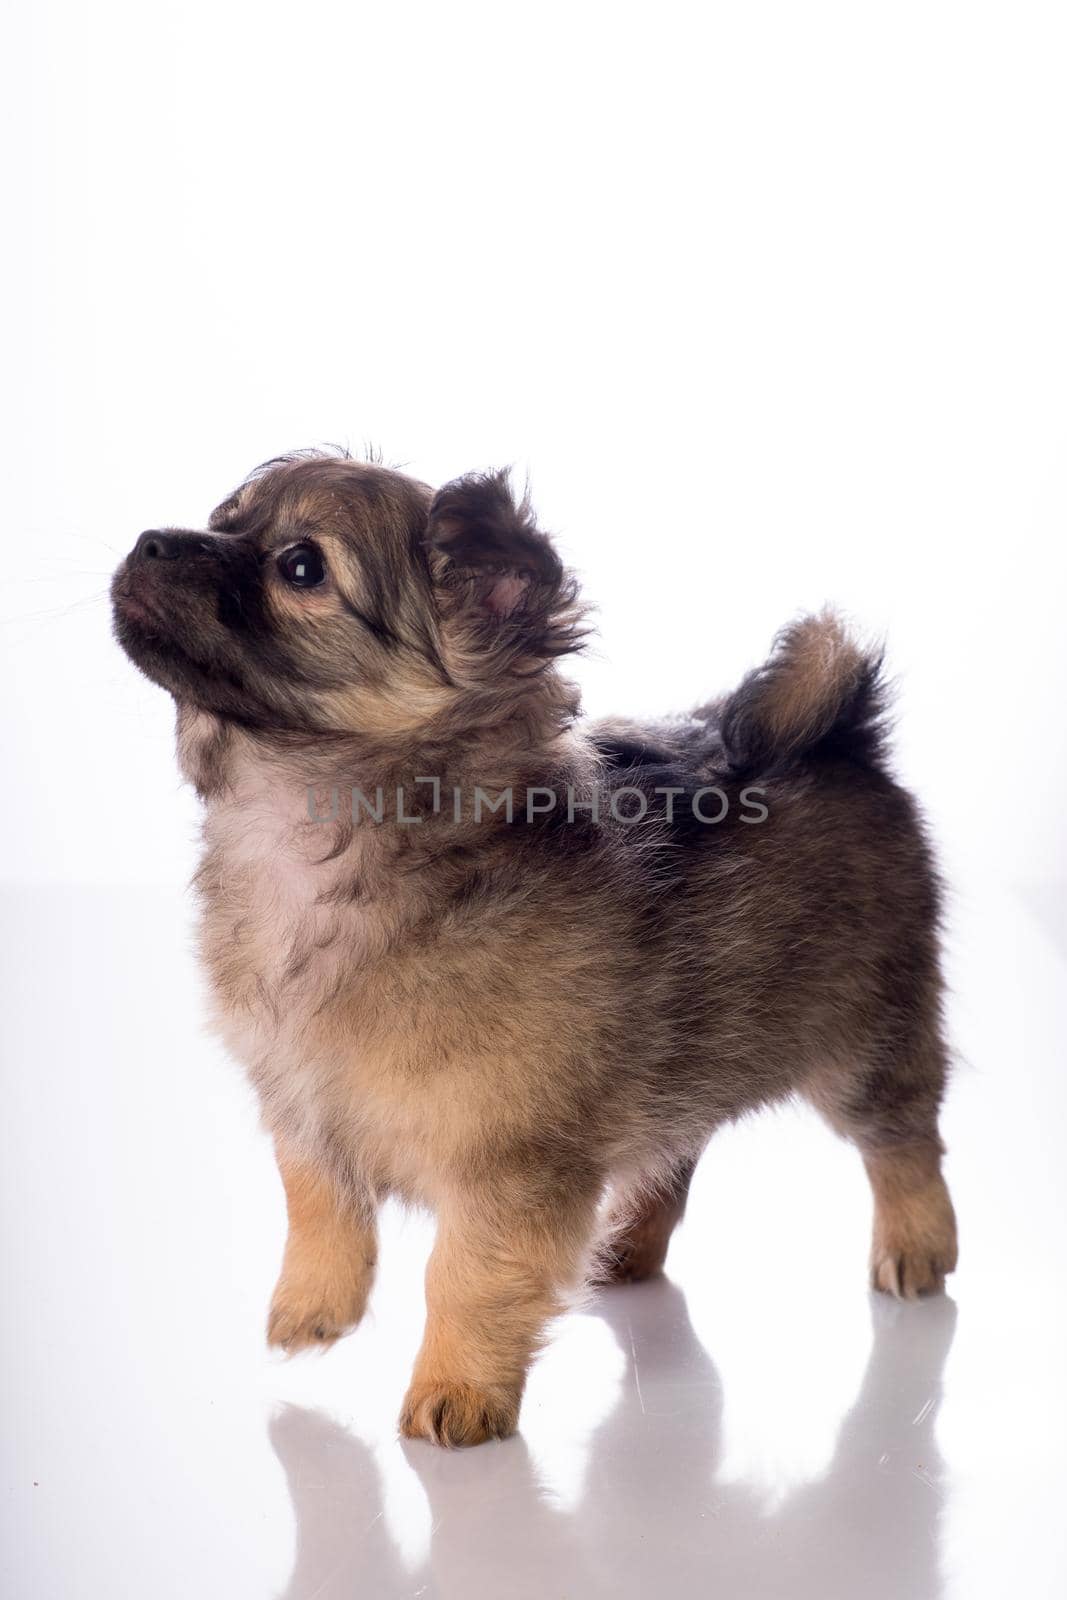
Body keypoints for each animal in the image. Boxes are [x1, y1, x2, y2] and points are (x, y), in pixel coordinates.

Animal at [110, 451, 959, 1452]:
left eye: (300, 567)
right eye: (221, 519)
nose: (150, 541)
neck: (316, 838)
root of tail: (840, 733)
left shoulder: (505, 1160)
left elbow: (465, 1273)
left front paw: (457, 1391)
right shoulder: (302, 1101)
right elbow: (320, 1204)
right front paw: (314, 1306)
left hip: (864, 1042)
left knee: (903, 1142)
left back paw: (916, 1247)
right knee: (675, 1150)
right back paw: (624, 1245)